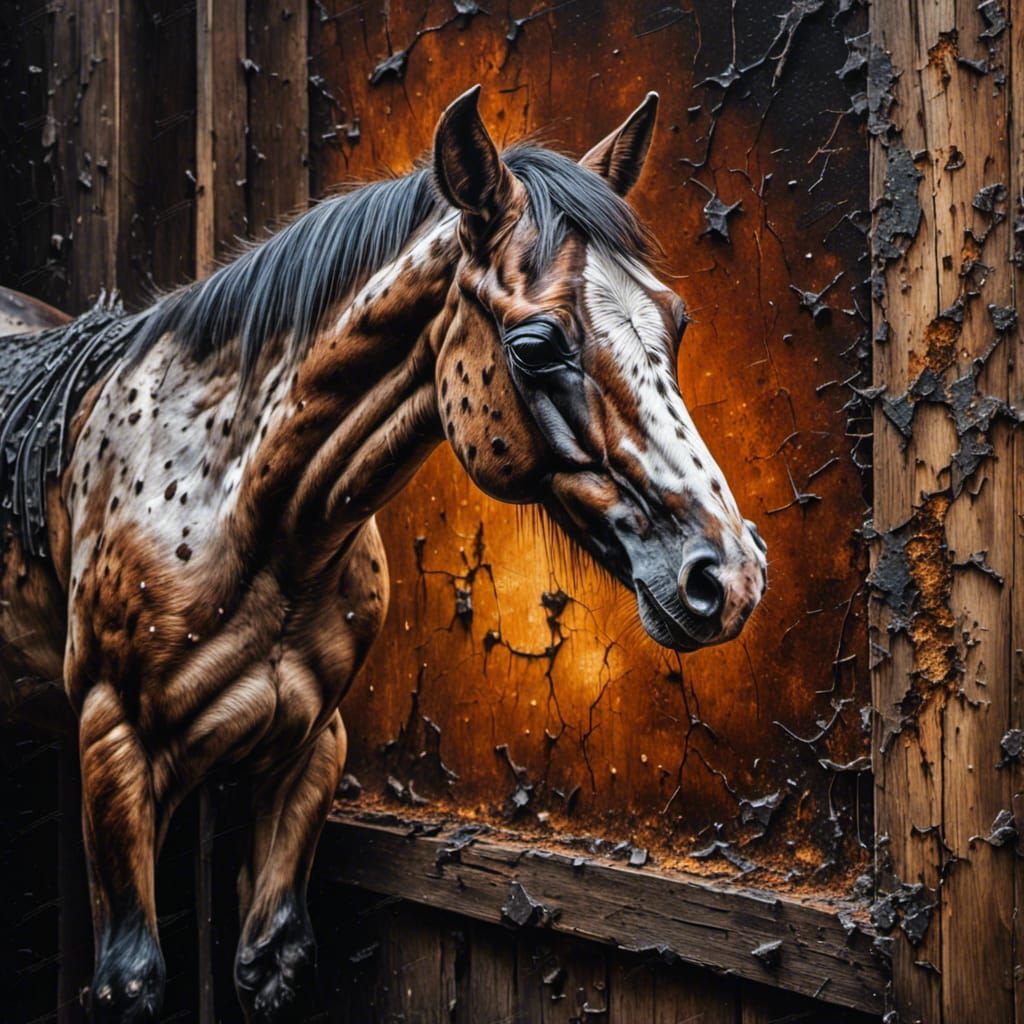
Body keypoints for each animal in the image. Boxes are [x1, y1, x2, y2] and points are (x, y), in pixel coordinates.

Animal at [0, 86, 766, 1022]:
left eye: (676, 322)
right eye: (536, 346)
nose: (727, 578)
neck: (250, 519)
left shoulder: (307, 749)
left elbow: (270, 958)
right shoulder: (113, 752)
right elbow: (132, 977)